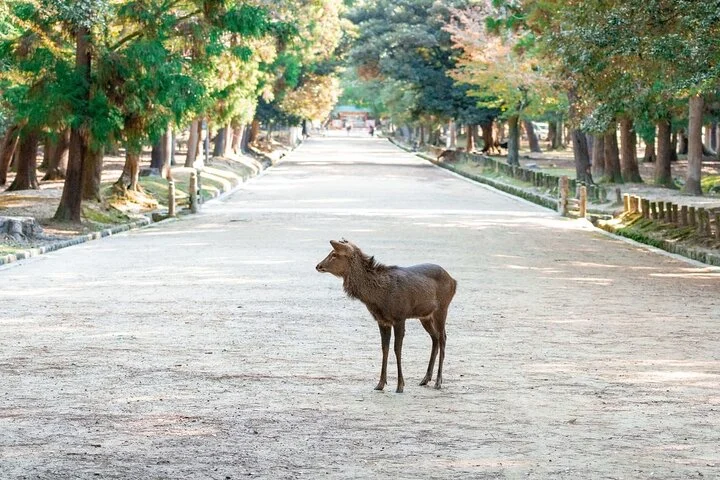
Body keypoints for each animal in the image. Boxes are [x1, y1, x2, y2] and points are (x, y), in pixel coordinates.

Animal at [314, 240, 456, 394]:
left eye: (334, 254)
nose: (318, 266)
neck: (378, 297)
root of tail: (454, 281)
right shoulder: (382, 321)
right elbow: (384, 348)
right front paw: (380, 383)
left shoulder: (400, 317)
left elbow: (397, 349)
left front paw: (400, 386)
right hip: (425, 316)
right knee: (435, 338)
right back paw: (425, 379)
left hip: (442, 309)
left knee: (443, 338)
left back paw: (438, 381)